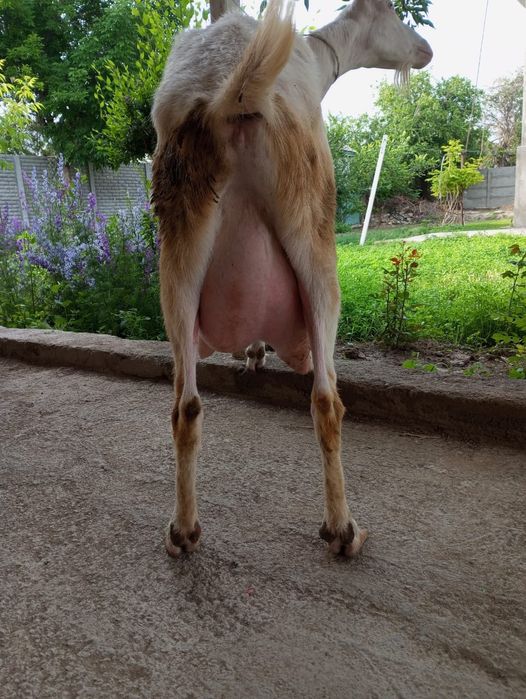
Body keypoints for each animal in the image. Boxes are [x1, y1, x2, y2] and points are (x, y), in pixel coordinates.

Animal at [151, 0, 432, 558]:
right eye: (393, 13)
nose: (426, 51)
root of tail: (233, 94)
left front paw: (253, 352)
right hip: (314, 227)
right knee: (326, 399)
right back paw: (343, 530)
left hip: (179, 240)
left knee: (185, 406)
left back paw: (183, 531)